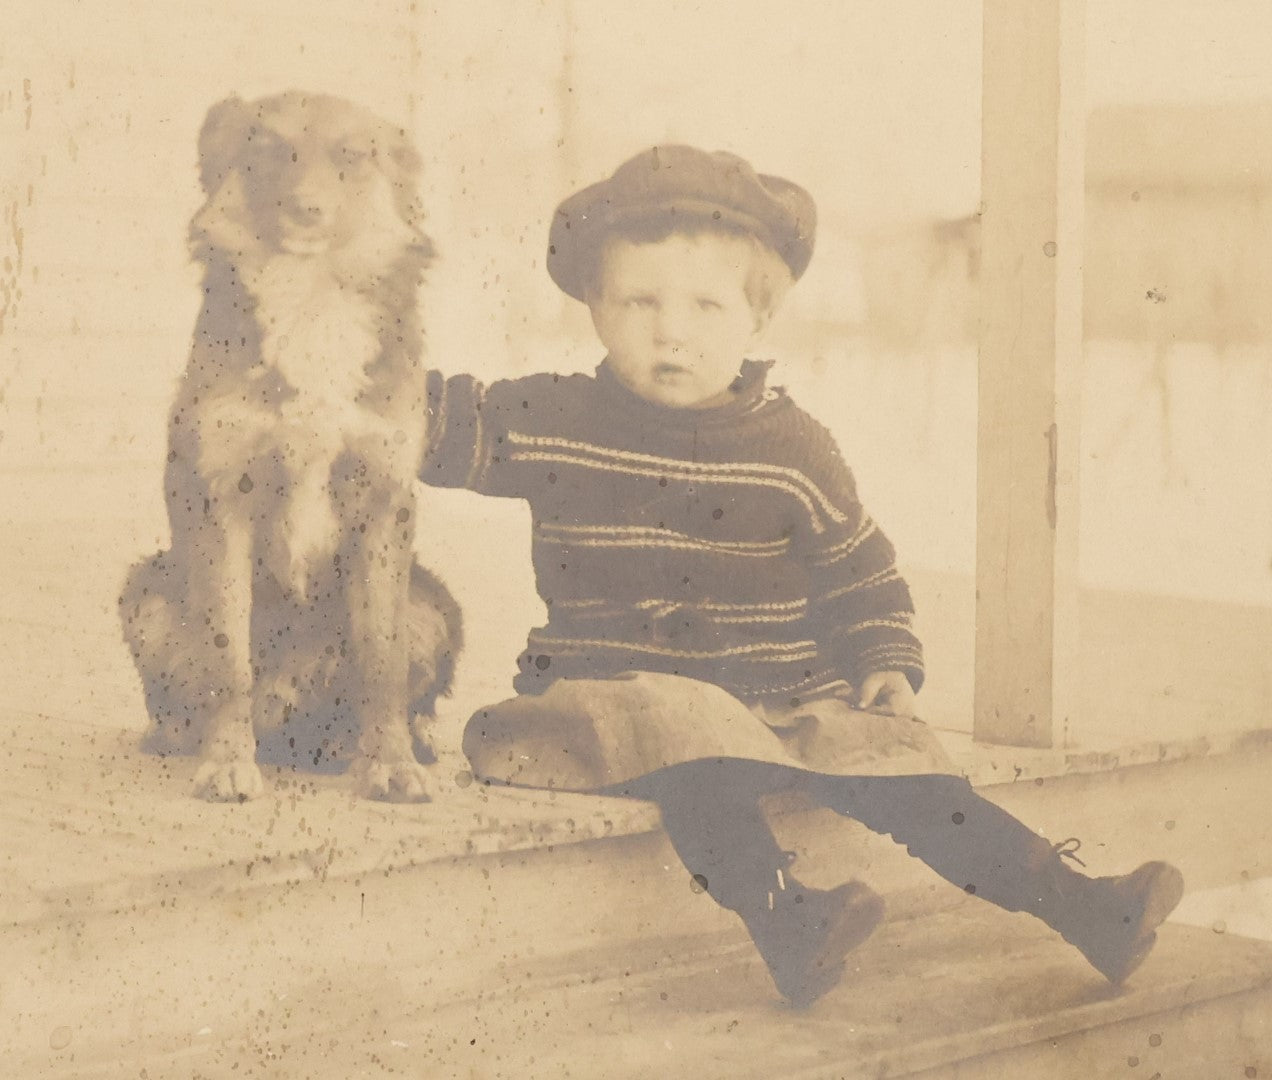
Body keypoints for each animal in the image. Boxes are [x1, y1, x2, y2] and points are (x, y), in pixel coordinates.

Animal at [120, 92, 463, 798]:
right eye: (272, 151)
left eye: (351, 155)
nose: (306, 209)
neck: (313, 293)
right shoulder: (221, 493)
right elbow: (227, 658)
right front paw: (227, 761)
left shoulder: (384, 497)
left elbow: (381, 657)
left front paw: (389, 763)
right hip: (146, 591)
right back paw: (181, 737)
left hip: (437, 604)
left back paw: (381, 743)